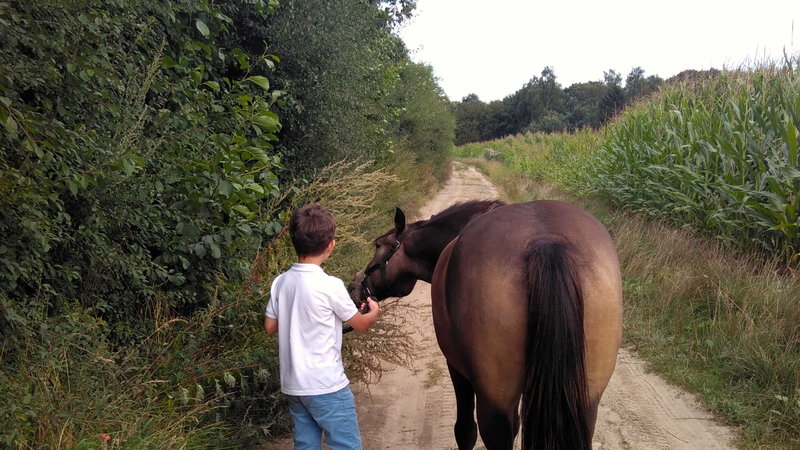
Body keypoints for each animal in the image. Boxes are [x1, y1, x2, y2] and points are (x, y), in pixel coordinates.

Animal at [352, 200, 622, 449]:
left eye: (378, 245)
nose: (356, 286)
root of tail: (546, 241)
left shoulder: (457, 369)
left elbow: (464, 431)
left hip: (494, 403)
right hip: (584, 401)